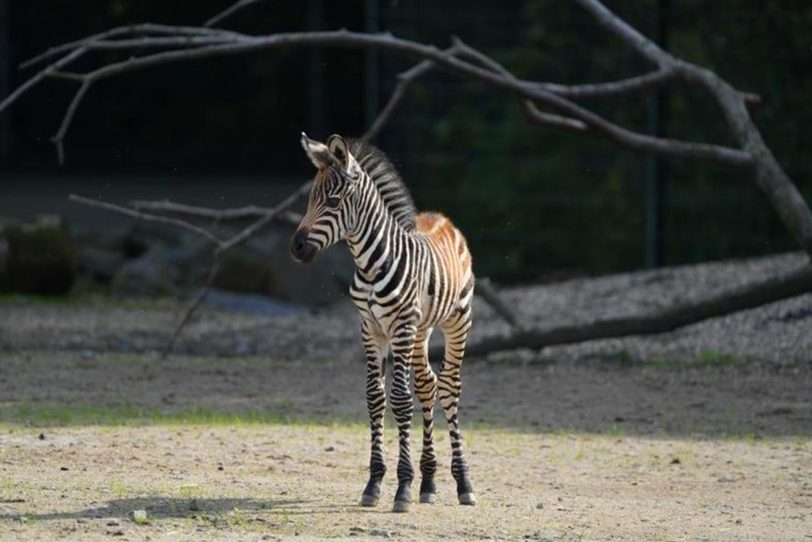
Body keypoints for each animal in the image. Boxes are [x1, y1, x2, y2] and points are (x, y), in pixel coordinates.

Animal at [288, 133, 476, 516]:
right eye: (310, 199)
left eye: (332, 201)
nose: (296, 248)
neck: (371, 264)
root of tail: (442, 217)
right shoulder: (370, 328)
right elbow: (375, 397)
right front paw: (374, 483)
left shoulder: (400, 326)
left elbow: (400, 400)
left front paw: (402, 488)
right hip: (420, 331)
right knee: (428, 384)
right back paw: (429, 482)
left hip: (456, 321)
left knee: (450, 386)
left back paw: (463, 483)